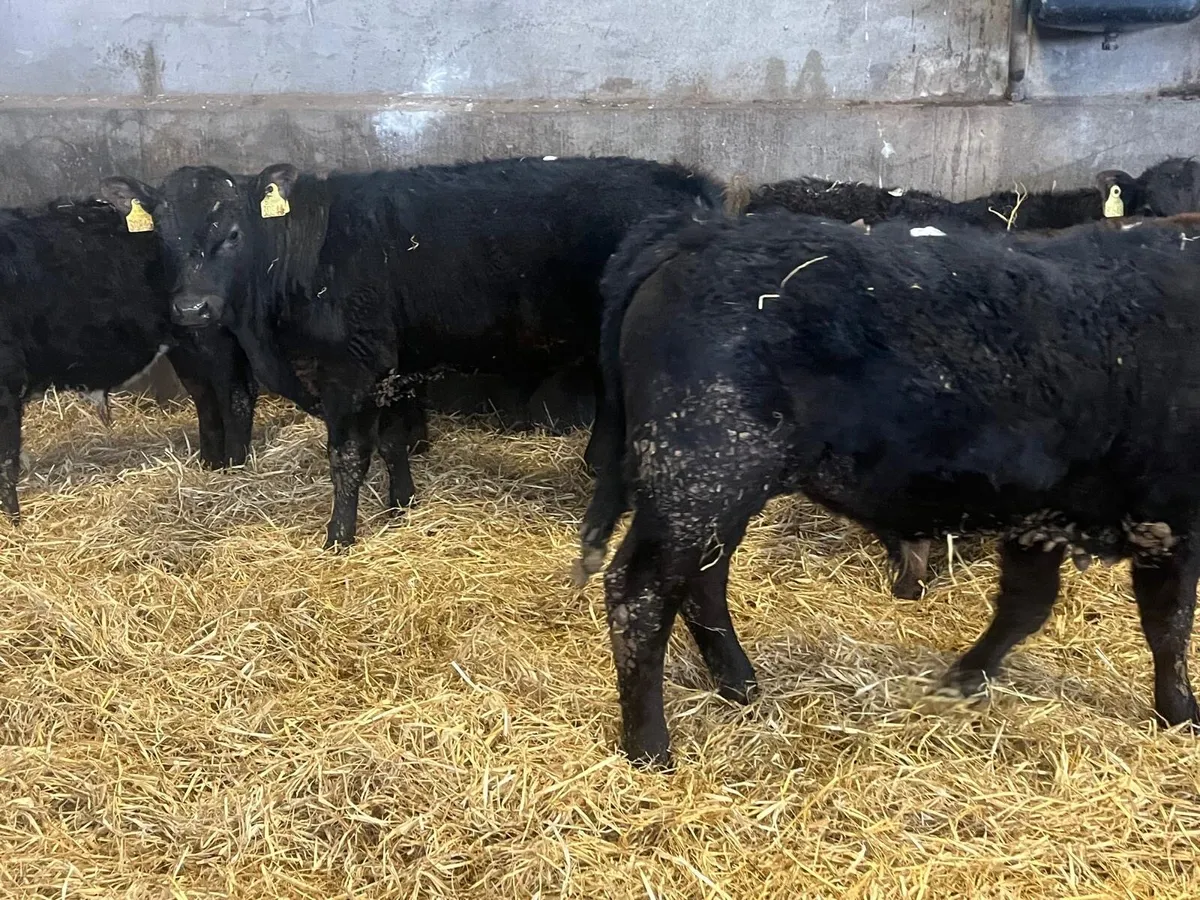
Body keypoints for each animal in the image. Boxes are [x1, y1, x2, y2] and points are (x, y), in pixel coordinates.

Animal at [0, 196, 257, 520]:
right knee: (206, 398)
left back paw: (234, 468)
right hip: (185, 346)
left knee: (235, 395)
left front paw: (13, 519)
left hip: (212, 335)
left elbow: (5, 458)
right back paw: (210, 465)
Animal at [99, 156, 725, 549]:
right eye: (162, 237)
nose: (191, 309)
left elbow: (348, 456)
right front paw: (400, 505)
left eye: (231, 233)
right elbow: (394, 440)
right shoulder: (393, 369)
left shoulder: (349, 372)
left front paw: (339, 537)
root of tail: (687, 182)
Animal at [581, 206, 1200, 768]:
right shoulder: (1170, 518)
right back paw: (651, 748)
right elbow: (1168, 624)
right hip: (703, 475)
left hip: (719, 489)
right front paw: (1181, 713)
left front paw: (961, 682)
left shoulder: (1044, 515)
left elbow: (1027, 607)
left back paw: (741, 686)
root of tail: (701, 235)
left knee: (702, 581)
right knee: (640, 593)